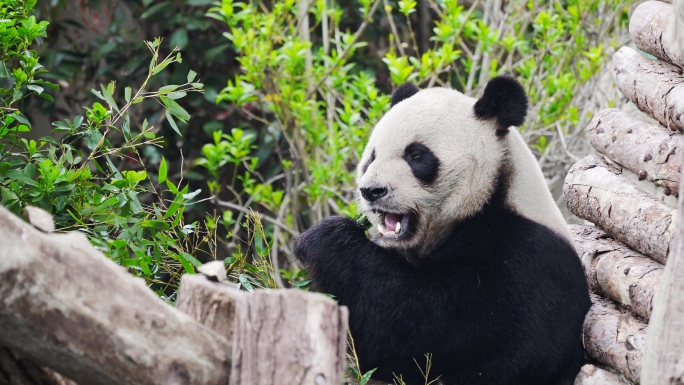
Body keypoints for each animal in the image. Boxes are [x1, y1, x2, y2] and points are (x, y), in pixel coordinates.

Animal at [296, 76, 592, 384]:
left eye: (416, 155)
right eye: (372, 156)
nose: (371, 191)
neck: (489, 200)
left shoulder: (525, 260)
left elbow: (421, 330)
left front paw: (325, 239)